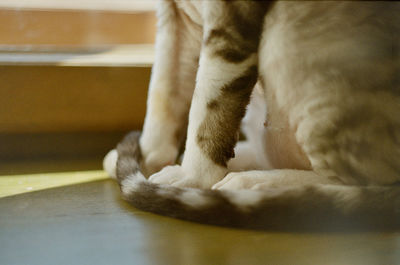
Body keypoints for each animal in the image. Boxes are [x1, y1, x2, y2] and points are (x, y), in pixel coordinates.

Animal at [104, 0, 400, 229]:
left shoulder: (230, 23)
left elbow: (207, 106)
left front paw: (191, 177)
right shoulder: (173, 18)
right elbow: (162, 93)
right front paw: (146, 156)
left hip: (285, 38)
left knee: (369, 182)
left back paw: (255, 183)